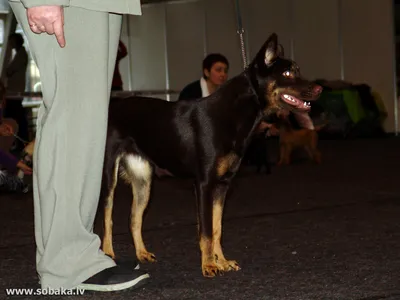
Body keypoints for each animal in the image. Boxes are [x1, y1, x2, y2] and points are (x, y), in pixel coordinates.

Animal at [101, 34, 324, 278]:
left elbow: (217, 228)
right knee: (107, 215)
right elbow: (206, 231)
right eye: (287, 74)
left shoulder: (222, 185)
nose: (320, 89)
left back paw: (142, 253)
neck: (233, 114)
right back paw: (108, 254)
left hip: (143, 180)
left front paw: (222, 262)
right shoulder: (204, 185)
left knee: (134, 219)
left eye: (297, 70)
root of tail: (114, 107)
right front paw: (208, 265)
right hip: (109, 176)